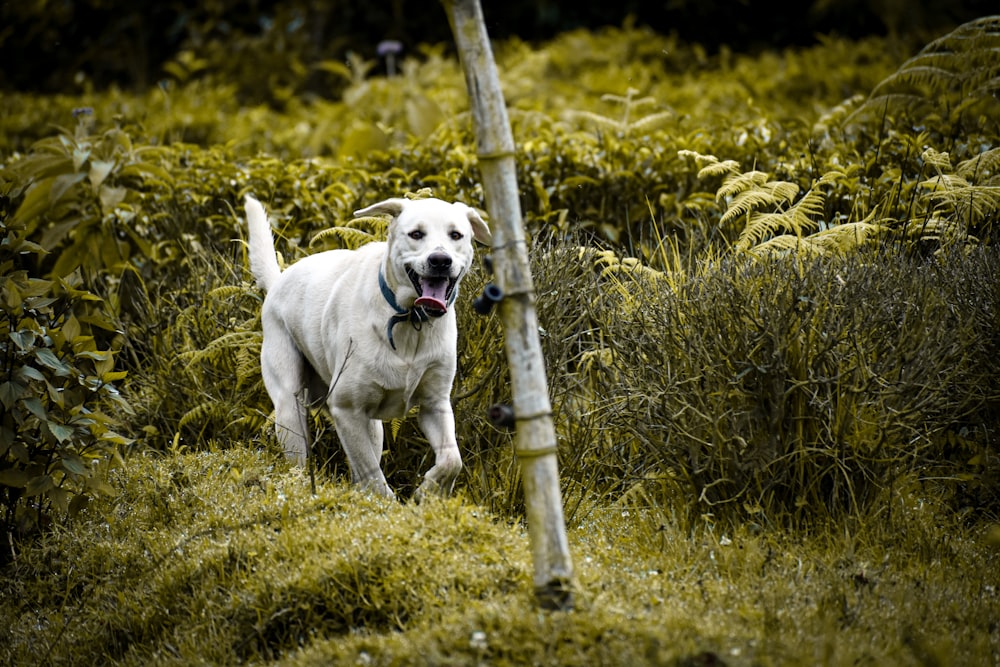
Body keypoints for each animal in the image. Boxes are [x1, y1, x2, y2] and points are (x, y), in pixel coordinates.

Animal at [244, 196, 490, 498]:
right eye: (416, 234)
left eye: (456, 235)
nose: (440, 260)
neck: (409, 319)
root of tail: (278, 281)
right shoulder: (346, 410)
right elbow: (373, 476)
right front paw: (389, 505)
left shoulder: (435, 404)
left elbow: (452, 459)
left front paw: (430, 490)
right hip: (291, 407)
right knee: (301, 459)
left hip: (372, 425)